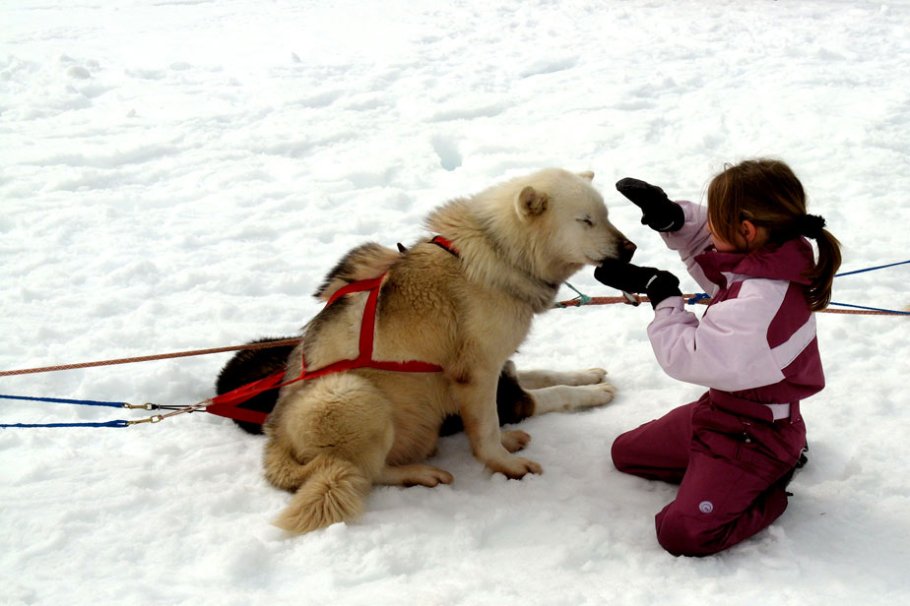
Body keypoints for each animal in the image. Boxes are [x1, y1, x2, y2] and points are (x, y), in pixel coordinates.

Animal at [260, 169, 636, 536]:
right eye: (585, 220)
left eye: (606, 216)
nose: (631, 247)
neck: (501, 255)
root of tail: (274, 441)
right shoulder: (478, 374)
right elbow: (507, 421)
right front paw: (507, 464)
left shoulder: (501, 366)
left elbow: (546, 376)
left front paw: (587, 377)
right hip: (352, 393)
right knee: (367, 473)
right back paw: (420, 474)